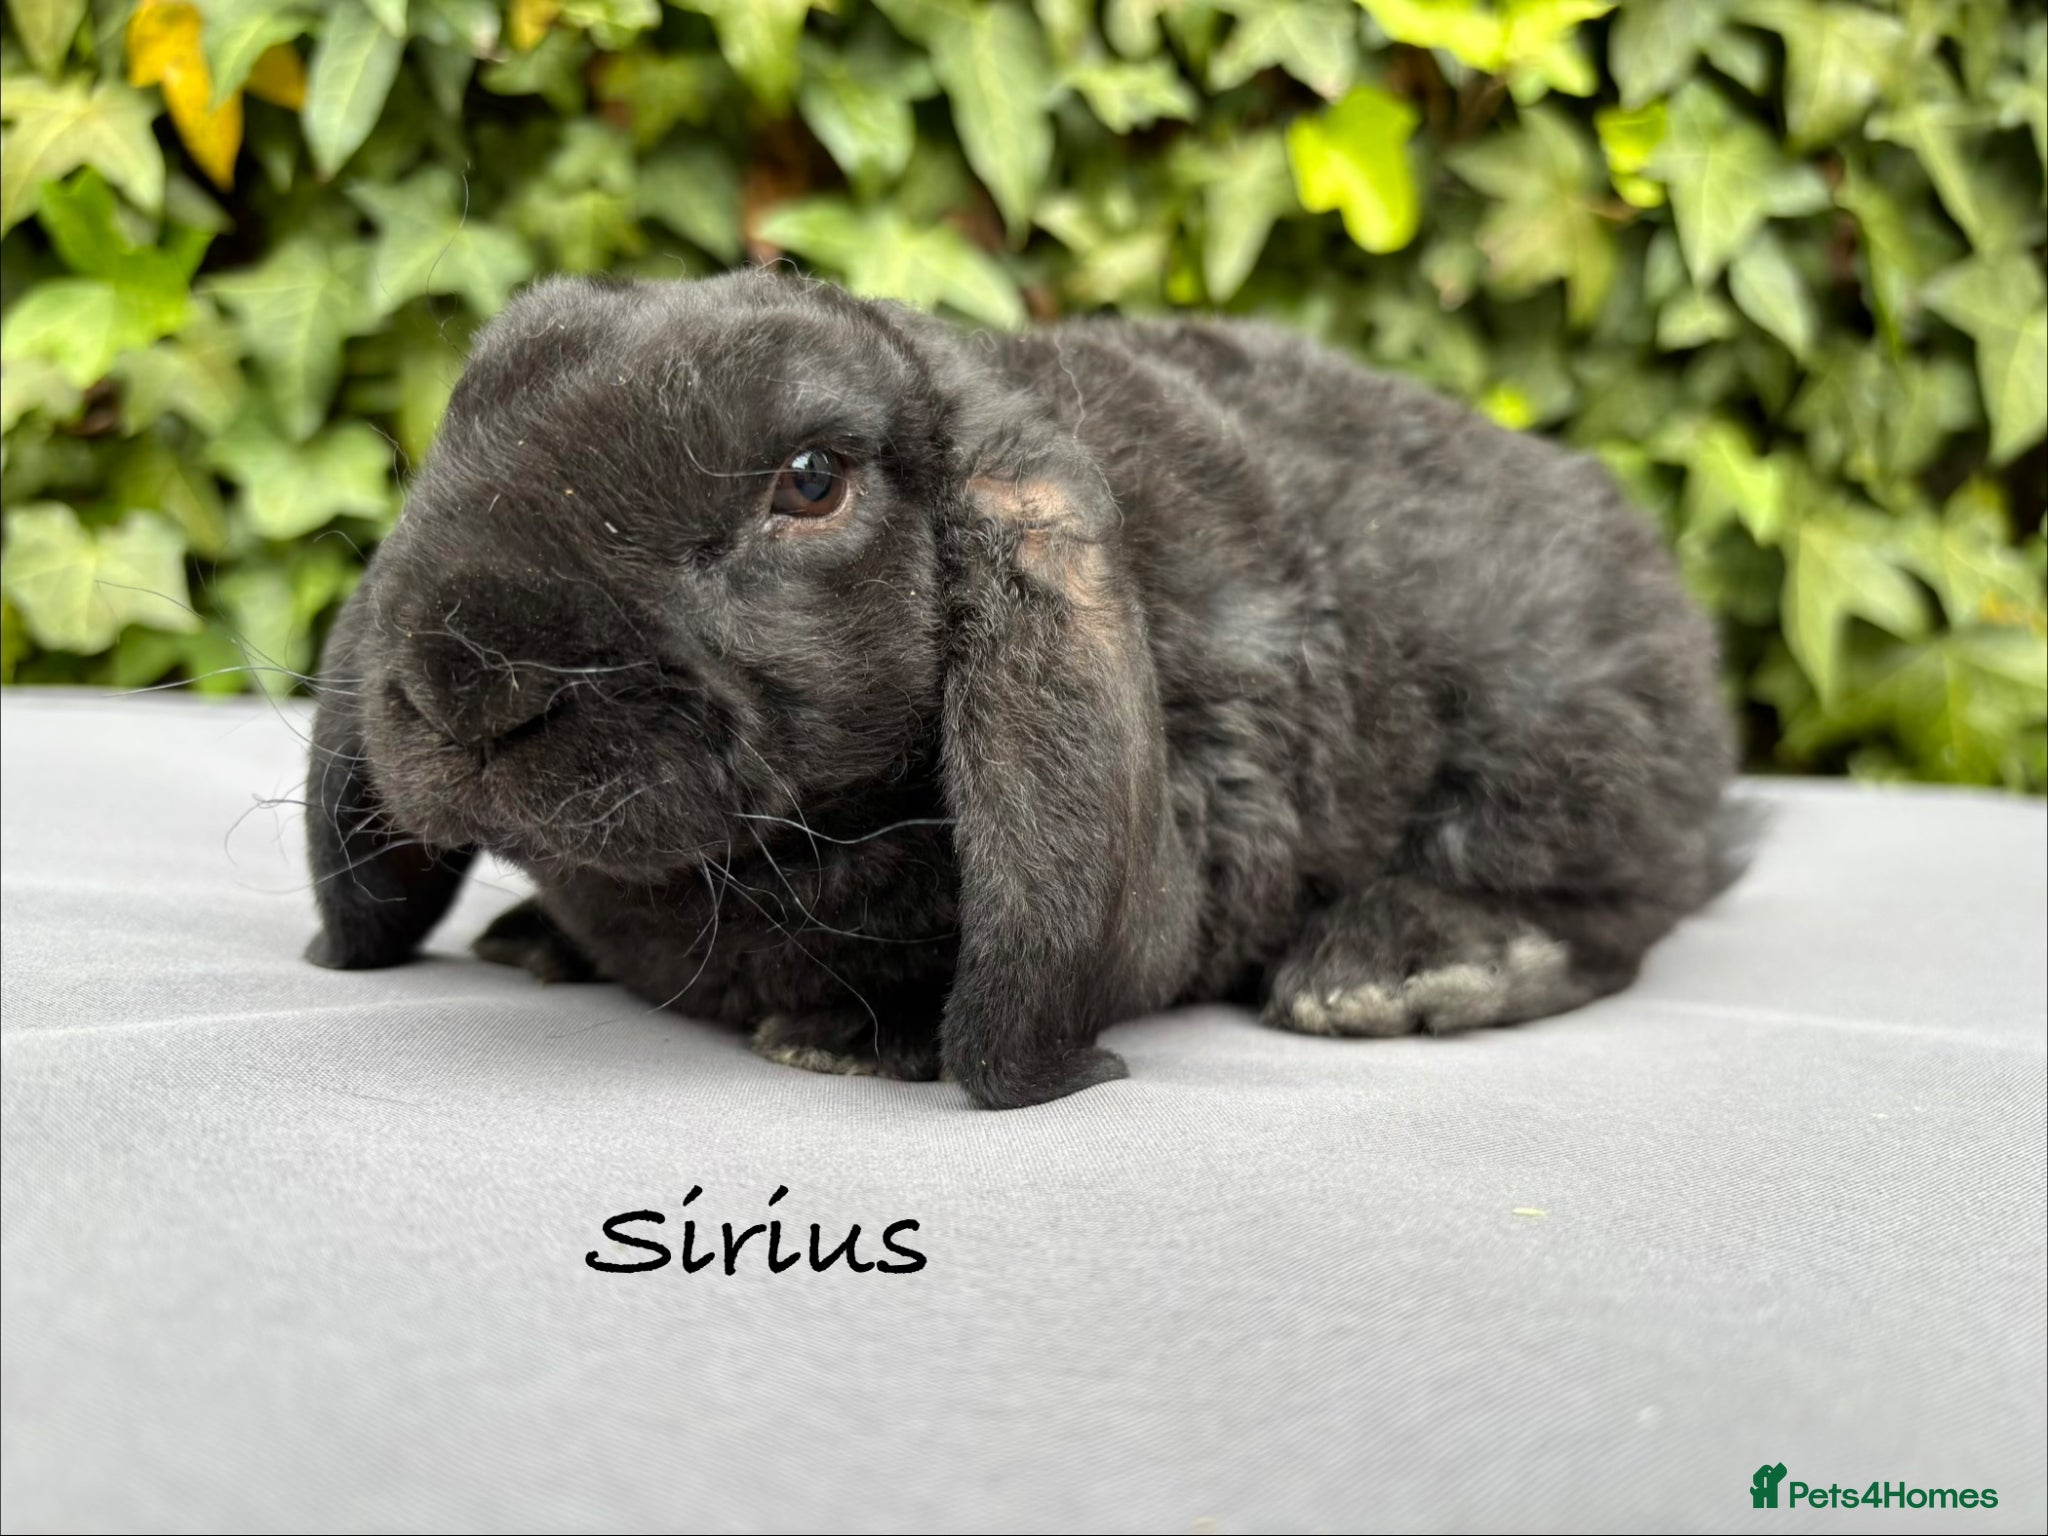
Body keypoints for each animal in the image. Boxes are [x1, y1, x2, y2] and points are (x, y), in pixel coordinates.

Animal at [303, 267, 1741, 1109]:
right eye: (461, 415)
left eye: (811, 480)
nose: (460, 679)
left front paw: (861, 1039)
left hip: (1557, 752)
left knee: (1617, 909)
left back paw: (1399, 969)